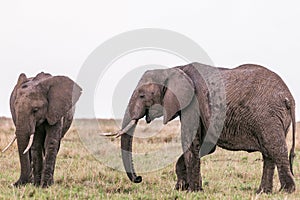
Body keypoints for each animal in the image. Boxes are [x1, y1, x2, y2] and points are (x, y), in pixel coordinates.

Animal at [114, 63, 296, 194]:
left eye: (142, 95)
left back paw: (285, 191)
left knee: (275, 149)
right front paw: (182, 188)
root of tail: (289, 98)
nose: (139, 178)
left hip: (268, 116)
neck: (173, 69)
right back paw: (263, 192)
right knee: (268, 153)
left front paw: (193, 191)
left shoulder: (193, 104)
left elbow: (190, 143)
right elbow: (203, 146)